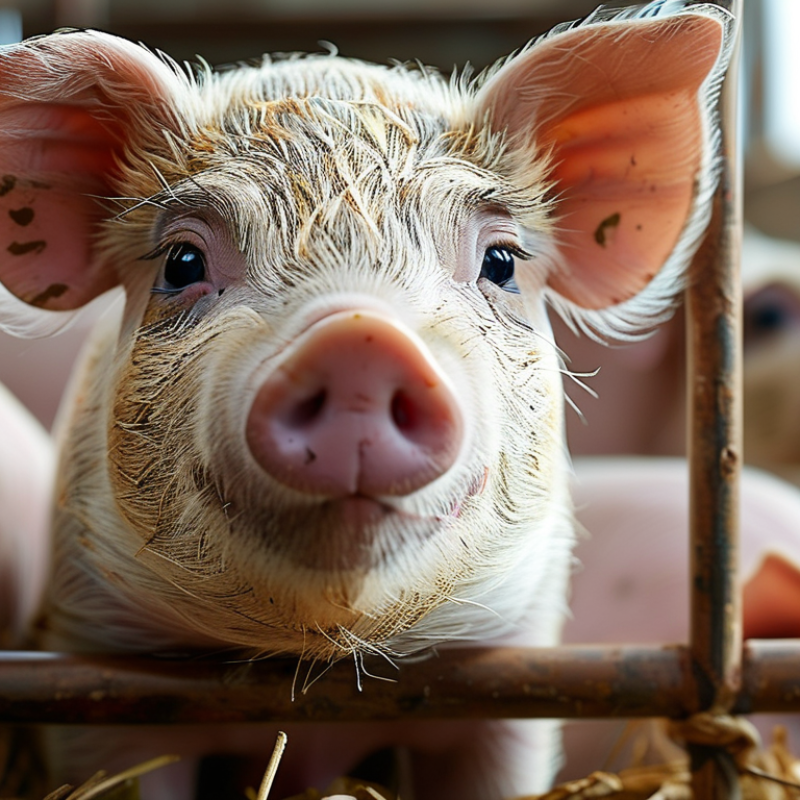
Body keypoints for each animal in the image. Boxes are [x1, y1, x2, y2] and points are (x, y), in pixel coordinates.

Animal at [0, 2, 732, 798]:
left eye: (501, 262)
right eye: (182, 261)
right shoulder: (97, 671)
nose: (359, 340)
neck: (322, 669)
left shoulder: (513, 679)